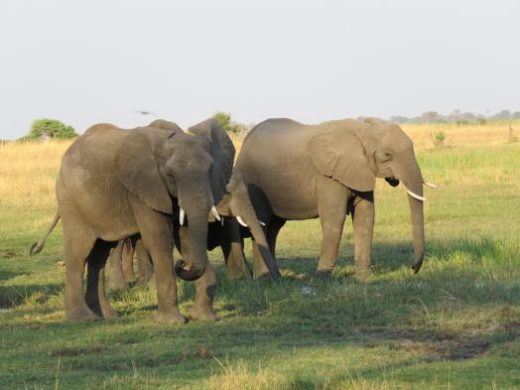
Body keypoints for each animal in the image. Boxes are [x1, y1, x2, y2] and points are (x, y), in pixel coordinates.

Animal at [234, 117, 432, 276]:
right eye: (387, 155)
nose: (412, 268)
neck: (361, 130)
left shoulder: (360, 169)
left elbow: (366, 215)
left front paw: (364, 277)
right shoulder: (328, 175)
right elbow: (334, 217)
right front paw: (322, 276)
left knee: (274, 227)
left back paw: (275, 275)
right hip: (253, 182)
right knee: (263, 222)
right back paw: (265, 278)